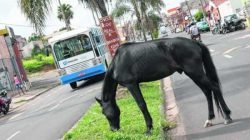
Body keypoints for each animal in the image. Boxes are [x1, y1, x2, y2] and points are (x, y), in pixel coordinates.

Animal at [95, 37, 232, 135]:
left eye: (104, 112)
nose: (113, 129)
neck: (118, 61)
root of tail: (194, 42)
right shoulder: (135, 84)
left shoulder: (131, 84)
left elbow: (141, 105)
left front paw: (149, 129)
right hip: (193, 74)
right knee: (207, 92)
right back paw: (209, 119)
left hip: (195, 72)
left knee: (214, 87)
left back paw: (227, 116)